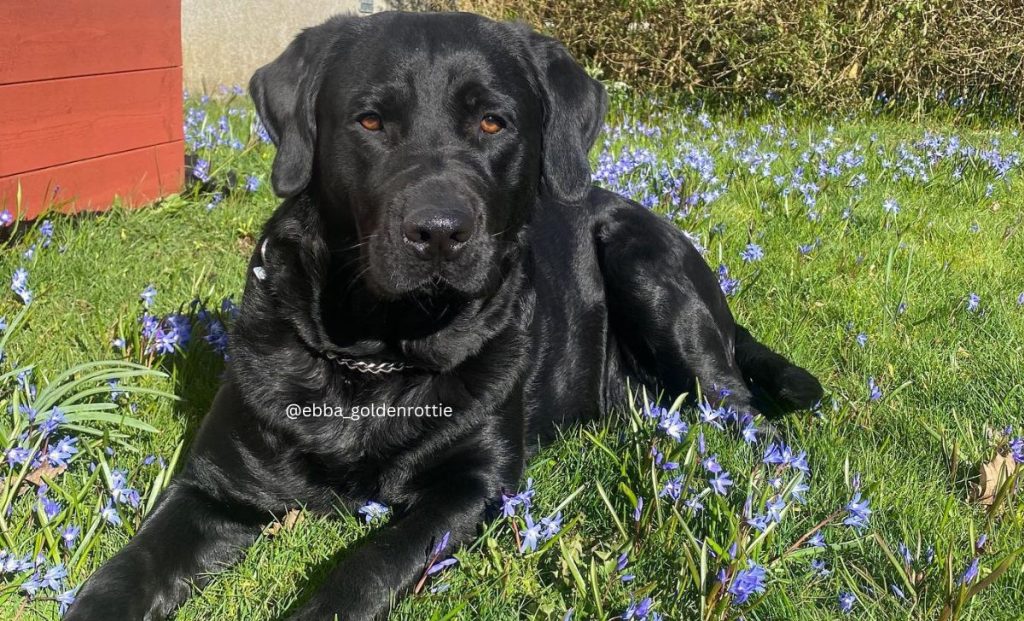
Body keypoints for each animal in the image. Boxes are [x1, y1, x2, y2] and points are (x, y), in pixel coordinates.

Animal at [66, 10, 823, 621]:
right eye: (370, 121)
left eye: (492, 121)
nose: (437, 231)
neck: (375, 358)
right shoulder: (214, 485)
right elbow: (129, 568)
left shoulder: (472, 483)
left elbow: (369, 564)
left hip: (648, 265)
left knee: (741, 409)